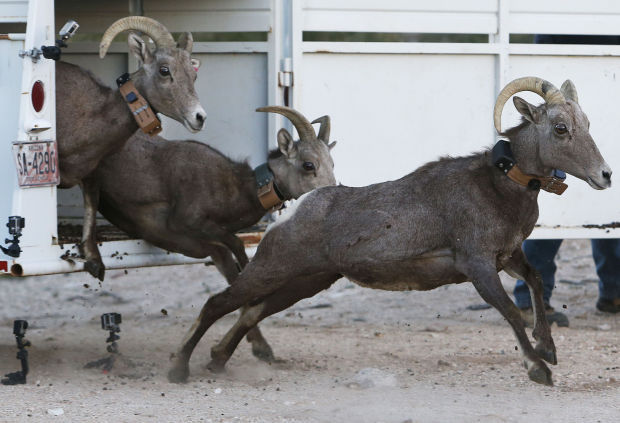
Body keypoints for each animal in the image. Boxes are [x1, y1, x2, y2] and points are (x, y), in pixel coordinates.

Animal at [56, 16, 206, 282]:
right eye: (164, 70)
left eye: (193, 75)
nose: (199, 117)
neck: (85, 119)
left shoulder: (93, 173)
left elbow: (91, 207)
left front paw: (94, 261)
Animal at [91, 106, 334, 362]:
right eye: (308, 165)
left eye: (332, 163)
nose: (330, 194)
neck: (232, 188)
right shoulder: (186, 221)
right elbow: (236, 249)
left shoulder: (189, 242)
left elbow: (229, 270)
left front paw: (260, 348)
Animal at [167, 78, 612, 386]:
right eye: (560, 128)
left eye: (587, 122)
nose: (604, 175)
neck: (499, 187)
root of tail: (297, 210)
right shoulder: (479, 266)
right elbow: (510, 312)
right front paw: (539, 369)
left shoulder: (509, 257)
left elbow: (535, 282)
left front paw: (548, 350)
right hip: (271, 269)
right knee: (217, 303)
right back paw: (179, 369)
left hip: (308, 282)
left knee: (251, 310)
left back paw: (217, 359)